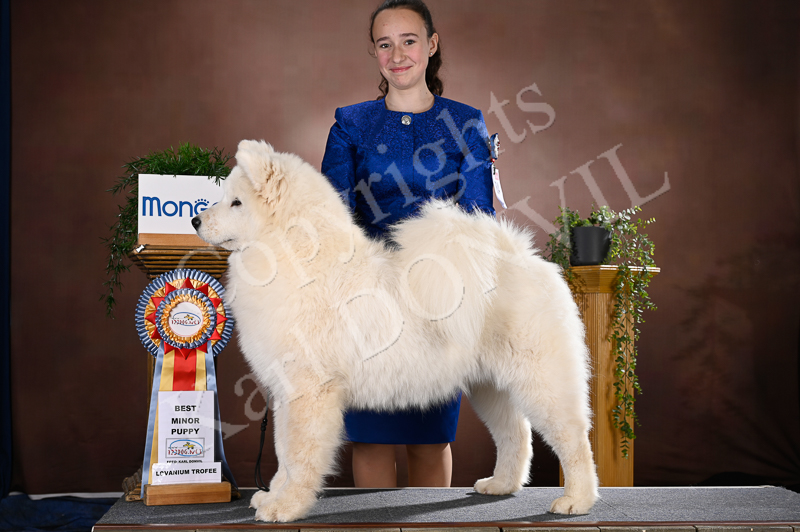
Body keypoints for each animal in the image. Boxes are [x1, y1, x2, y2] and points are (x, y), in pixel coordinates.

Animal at [193, 140, 598, 522]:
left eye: (236, 203)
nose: (195, 220)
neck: (296, 258)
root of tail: (521, 257)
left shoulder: (308, 392)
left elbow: (297, 456)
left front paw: (286, 507)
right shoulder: (285, 392)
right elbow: (282, 454)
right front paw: (272, 496)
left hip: (543, 382)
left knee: (574, 439)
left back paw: (576, 500)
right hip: (490, 387)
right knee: (516, 434)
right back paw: (501, 484)